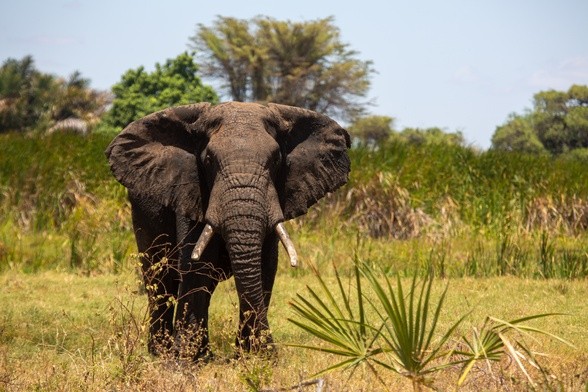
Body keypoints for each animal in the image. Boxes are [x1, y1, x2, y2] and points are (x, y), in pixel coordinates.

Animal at [106, 100, 352, 358]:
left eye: (276, 160)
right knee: (160, 277)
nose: (273, 352)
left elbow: (264, 267)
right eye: (208, 160)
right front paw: (186, 359)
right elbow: (196, 265)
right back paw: (162, 352)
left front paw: (252, 356)